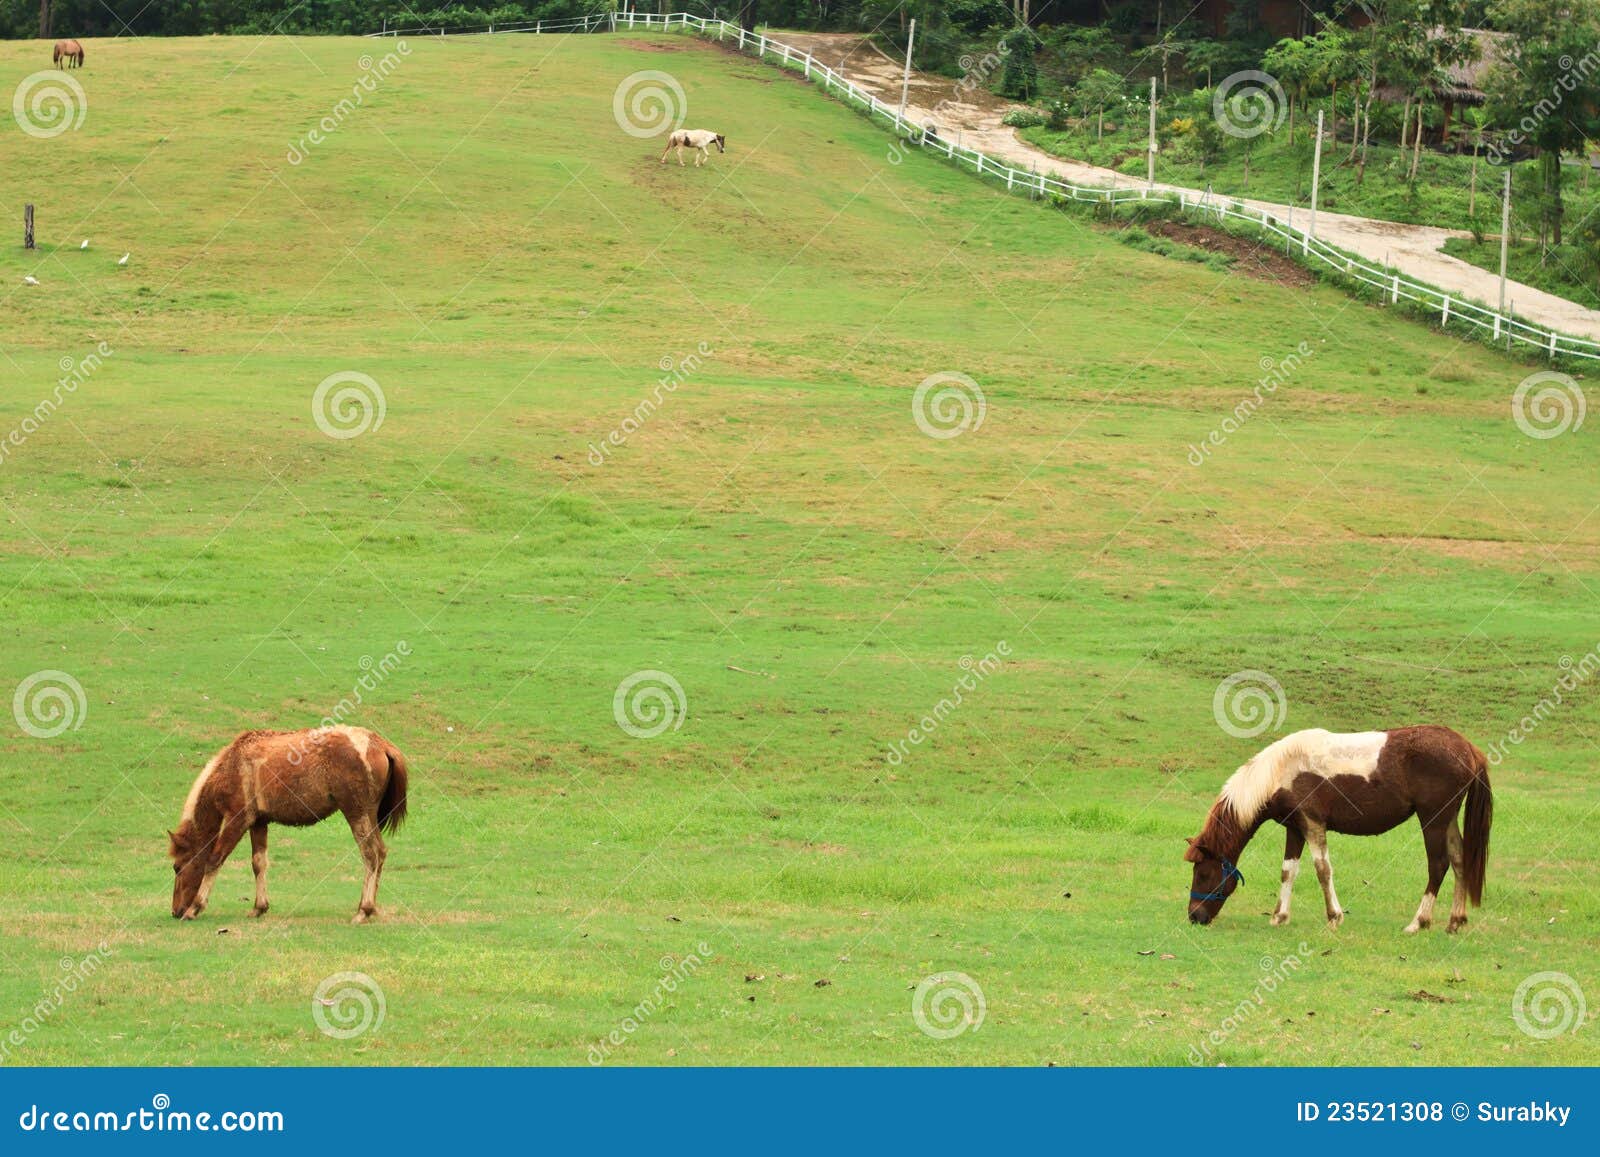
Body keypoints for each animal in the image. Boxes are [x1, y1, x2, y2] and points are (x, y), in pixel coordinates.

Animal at [168, 727, 409, 924]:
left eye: (177, 867)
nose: (176, 911)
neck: (233, 765)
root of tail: (380, 744)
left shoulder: (238, 819)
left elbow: (213, 860)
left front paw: (195, 907)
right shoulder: (259, 822)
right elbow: (258, 864)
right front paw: (259, 906)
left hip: (357, 813)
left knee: (370, 854)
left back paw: (363, 910)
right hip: (368, 816)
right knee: (380, 852)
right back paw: (370, 908)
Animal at [1184, 725, 1492, 933]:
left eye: (1203, 874)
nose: (1194, 917)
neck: (1282, 771)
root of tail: (1467, 747)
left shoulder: (1313, 824)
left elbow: (1323, 870)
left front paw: (1334, 916)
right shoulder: (1295, 829)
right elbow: (1288, 871)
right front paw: (1279, 916)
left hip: (1433, 820)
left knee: (1438, 866)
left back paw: (1419, 922)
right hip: (1447, 820)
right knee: (1459, 860)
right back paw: (1454, 921)